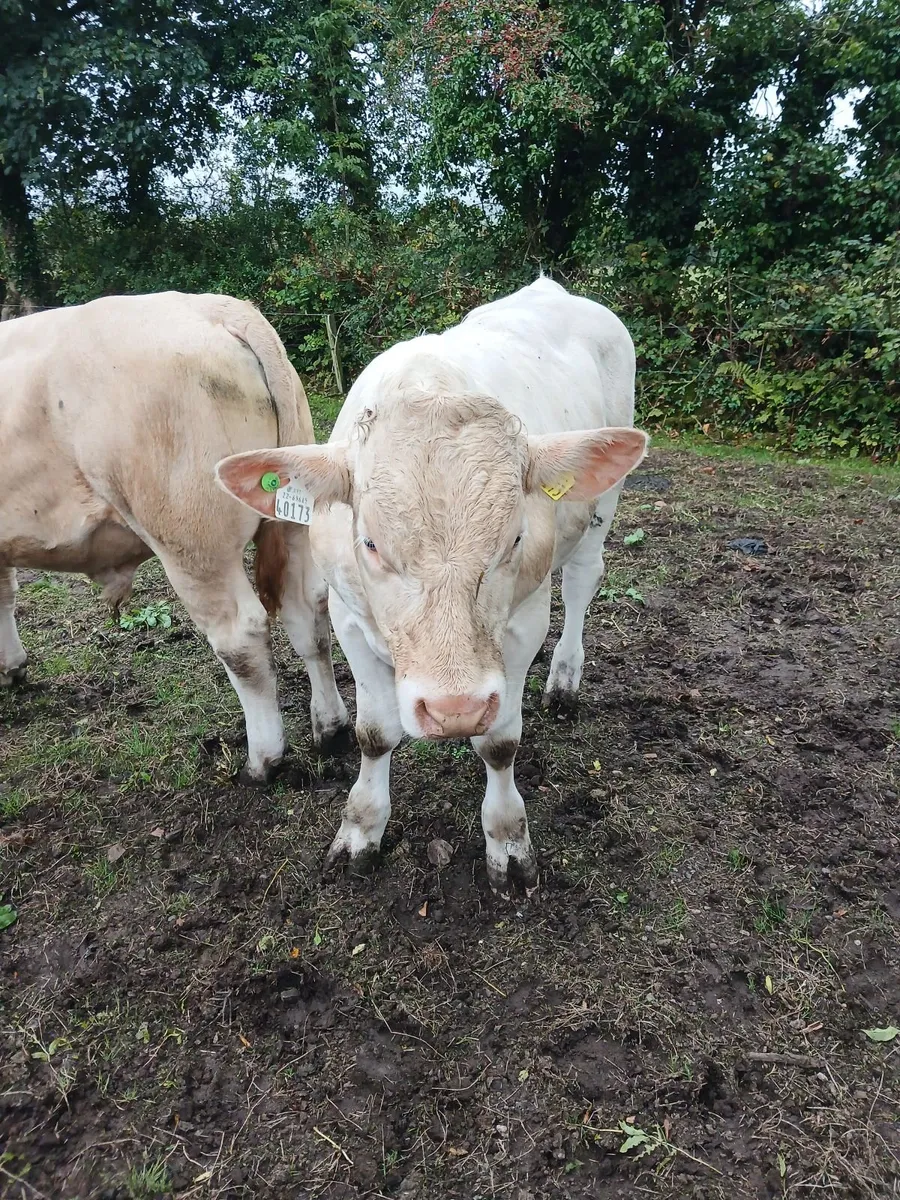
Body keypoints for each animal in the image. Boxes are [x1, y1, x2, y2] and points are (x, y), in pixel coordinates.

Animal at [0, 292, 349, 780]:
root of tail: (215, 308)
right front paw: (12, 667)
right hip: (292, 520)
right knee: (308, 611)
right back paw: (332, 729)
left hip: (192, 544)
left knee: (241, 636)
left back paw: (263, 760)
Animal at [216, 278, 648, 893]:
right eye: (370, 543)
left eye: (515, 538)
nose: (454, 710)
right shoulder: (349, 617)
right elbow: (376, 734)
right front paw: (361, 829)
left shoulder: (524, 620)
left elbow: (499, 743)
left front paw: (508, 840)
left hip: (600, 508)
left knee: (583, 582)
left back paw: (565, 680)